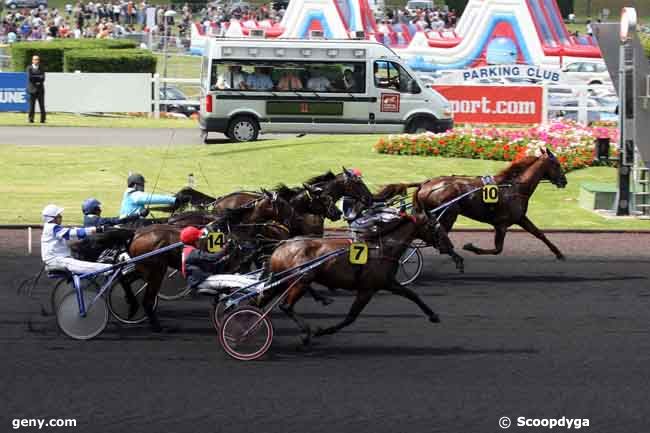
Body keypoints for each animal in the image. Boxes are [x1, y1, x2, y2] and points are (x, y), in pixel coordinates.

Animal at [264, 211, 440, 342]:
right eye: (434, 226)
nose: (444, 244)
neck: (383, 248)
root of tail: (282, 246)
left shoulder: (388, 283)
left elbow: (412, 295)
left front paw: (433, 315)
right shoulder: (367, 289)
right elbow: (351, 317)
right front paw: (322, 331)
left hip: (285, 281)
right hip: (300, 281)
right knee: (286, 306)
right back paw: (307, 333)